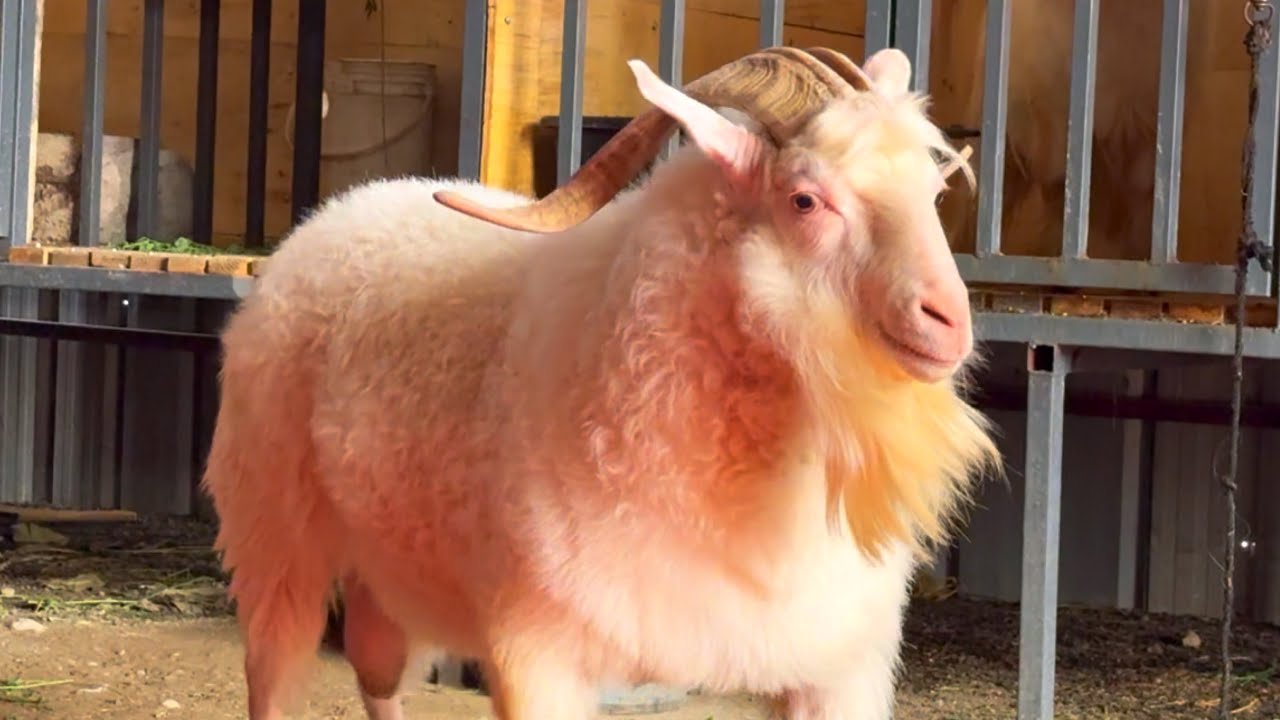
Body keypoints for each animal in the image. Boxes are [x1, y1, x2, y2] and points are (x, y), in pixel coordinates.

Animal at [202, 46, 1000, 720]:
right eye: (805, 200)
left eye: (932, 191)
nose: (947, 322)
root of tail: (343, 208)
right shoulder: (537, 654)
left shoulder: (839, 670)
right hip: (274, 538)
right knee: (277, 672)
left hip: (392, 565)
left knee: (377, 666)